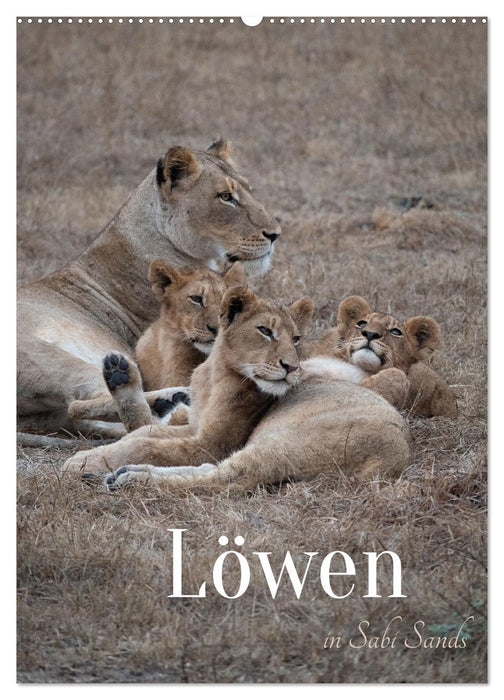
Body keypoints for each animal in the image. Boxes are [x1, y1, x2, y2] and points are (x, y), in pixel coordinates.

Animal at [63, 287, 410, 493]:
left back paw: (131, 479)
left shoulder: (212, 443)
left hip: (285, 446)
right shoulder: (197, 427)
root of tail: (393, 460)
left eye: (296, 339)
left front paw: (83, 461)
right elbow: (146, 433)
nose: (291, 367)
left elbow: (147, 443)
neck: (215, 374)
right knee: (210, 470)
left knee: (225, 478)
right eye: (265, 331)